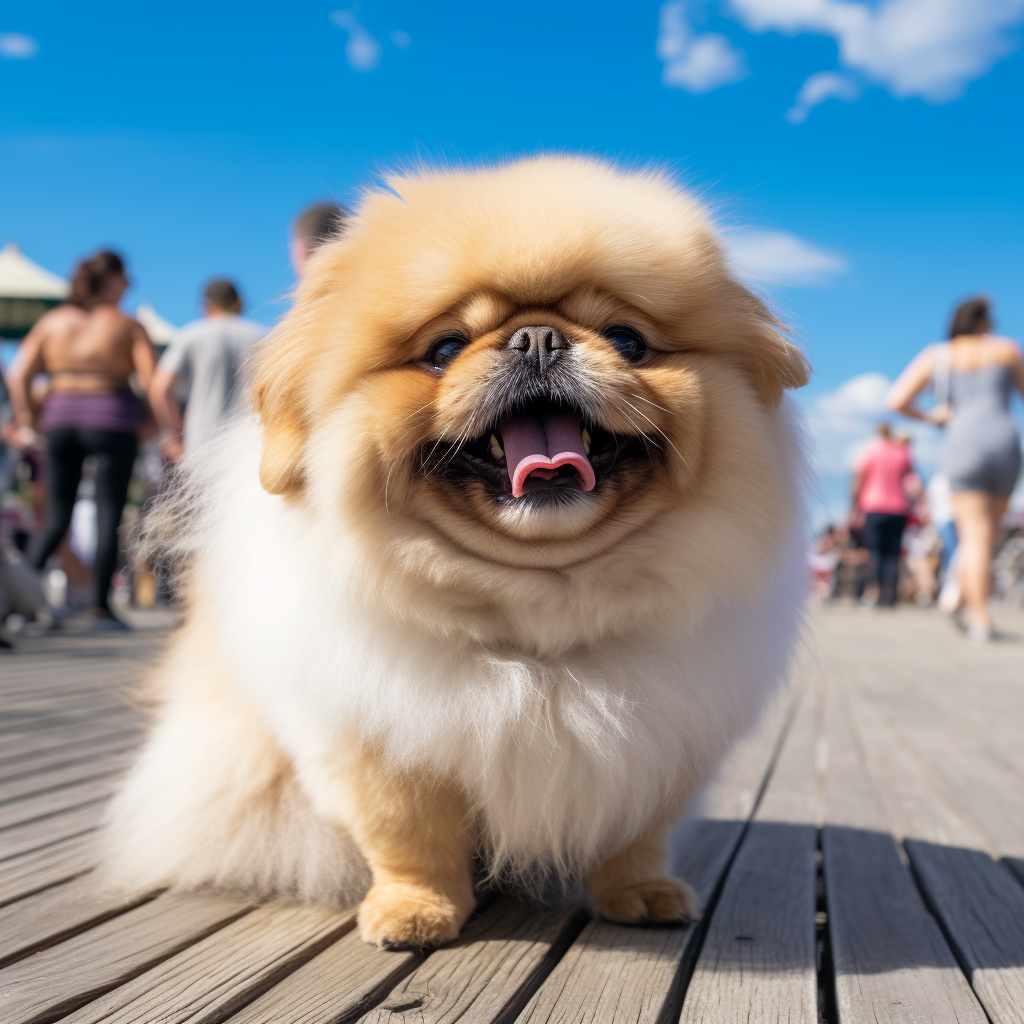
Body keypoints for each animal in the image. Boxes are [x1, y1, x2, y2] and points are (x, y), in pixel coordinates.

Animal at [101, 153, 806, 950]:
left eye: (627, 341)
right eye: (443, 350)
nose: (539, 338)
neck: (540, 611)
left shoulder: (662, 744)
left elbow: (636, 834)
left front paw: (639, 892)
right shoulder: (379, 745)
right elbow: (409, 837)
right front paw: (416, 911)